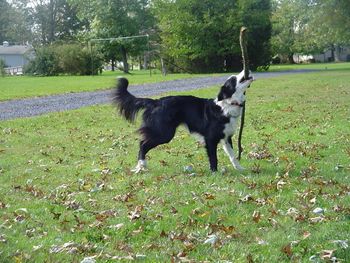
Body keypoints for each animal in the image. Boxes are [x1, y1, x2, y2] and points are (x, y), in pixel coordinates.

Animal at [113, 70, 253, 173]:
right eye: (233, 79)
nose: (247, 70)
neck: (226, 105)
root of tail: (156, 102)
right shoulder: (210, 139)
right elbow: (213, 157)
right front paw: (214, 172)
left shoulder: (226, 138)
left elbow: (232, 155)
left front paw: (239, 168)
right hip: (164, 134)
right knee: (142, 144)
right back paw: (142, 164)